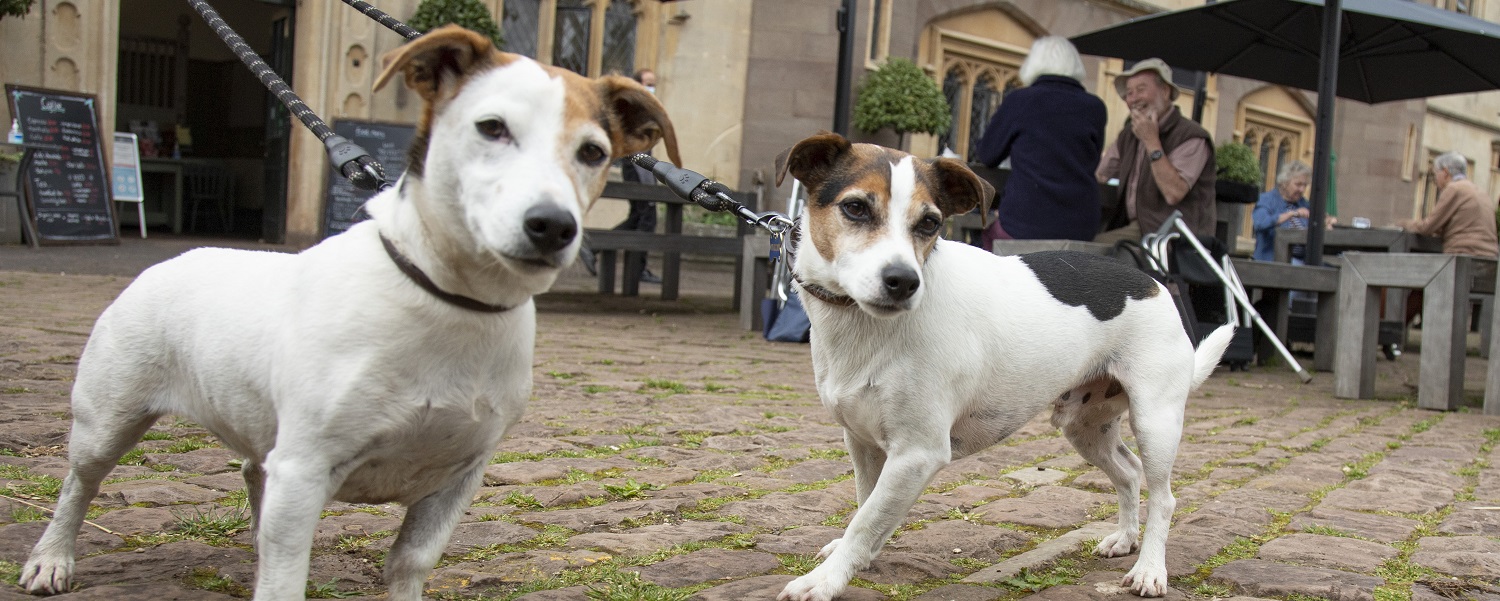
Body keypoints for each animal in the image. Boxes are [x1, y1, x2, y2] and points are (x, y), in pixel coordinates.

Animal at [21, 25, 681, 596]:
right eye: (492, 127)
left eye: (593, 151)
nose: (552, 225)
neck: (450, 300)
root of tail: (172, 259)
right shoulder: (305, 469)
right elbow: (285, 576)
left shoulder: (457, 477)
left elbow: (410, 563)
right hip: (107, 418)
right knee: (79, 484)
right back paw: (52, 559)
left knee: (253, 473)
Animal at [774, 133, 1230, 596]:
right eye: (855, 208)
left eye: (930, 223)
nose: (904, 281)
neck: (860, 325)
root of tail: (1154, 283)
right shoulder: (862, 443)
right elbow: (867, 506)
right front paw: (858, 560)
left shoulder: (918, 453)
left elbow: (866, 521)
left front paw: (826, 581)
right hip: (1085, 426)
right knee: (1129, 473)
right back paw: (1124, 538)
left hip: (1156, 421)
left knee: (1163, 496)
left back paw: (1150, 569)